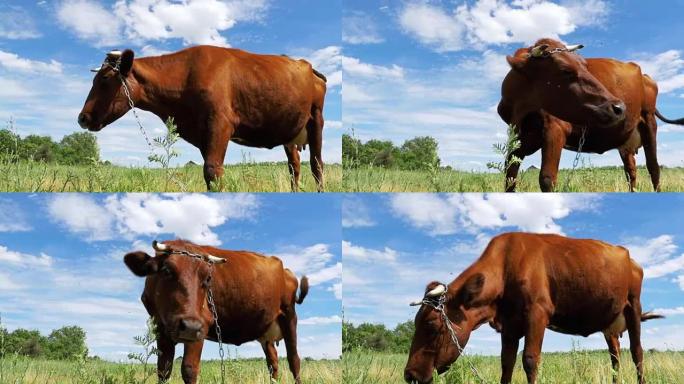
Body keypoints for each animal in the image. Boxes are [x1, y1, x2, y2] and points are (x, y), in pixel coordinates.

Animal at [79, 46, 328, 190]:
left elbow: (213, 172)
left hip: (316, 119)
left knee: (317, 165)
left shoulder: (219, 123)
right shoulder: (202, 134)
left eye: (104, 81)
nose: (82, 117)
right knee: (294, 167)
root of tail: (307, 65)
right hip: (289, 132)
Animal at [123, 240, 310, 384]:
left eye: (207, 279)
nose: (189, 326)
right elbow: (163, 370)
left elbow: (189, 369)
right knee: (273, 362)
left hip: (289, 316)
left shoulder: (202, 325)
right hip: (265, 330)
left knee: (294, 360)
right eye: (166, 270)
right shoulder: (161, 329)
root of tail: (286, 270)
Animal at [406, 231, 664, 384]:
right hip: (609, 322)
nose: (410, 375)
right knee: (615, 356)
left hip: (633, 305)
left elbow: (530, 360)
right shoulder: (509, 324)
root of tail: (630, 257)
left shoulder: (537, 313)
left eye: (431, 324)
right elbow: (506, 363)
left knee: (637, 352)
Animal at [496, 38, 684, 192]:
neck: (520, 111)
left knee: (654, 167)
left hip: (649, 120)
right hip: (625, 141)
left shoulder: (555, 129)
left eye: (585, 65)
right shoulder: (519, 138)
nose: (619, 107)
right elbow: (510, 177)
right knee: (631, 171)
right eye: (566, 70)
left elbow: (547, 179)